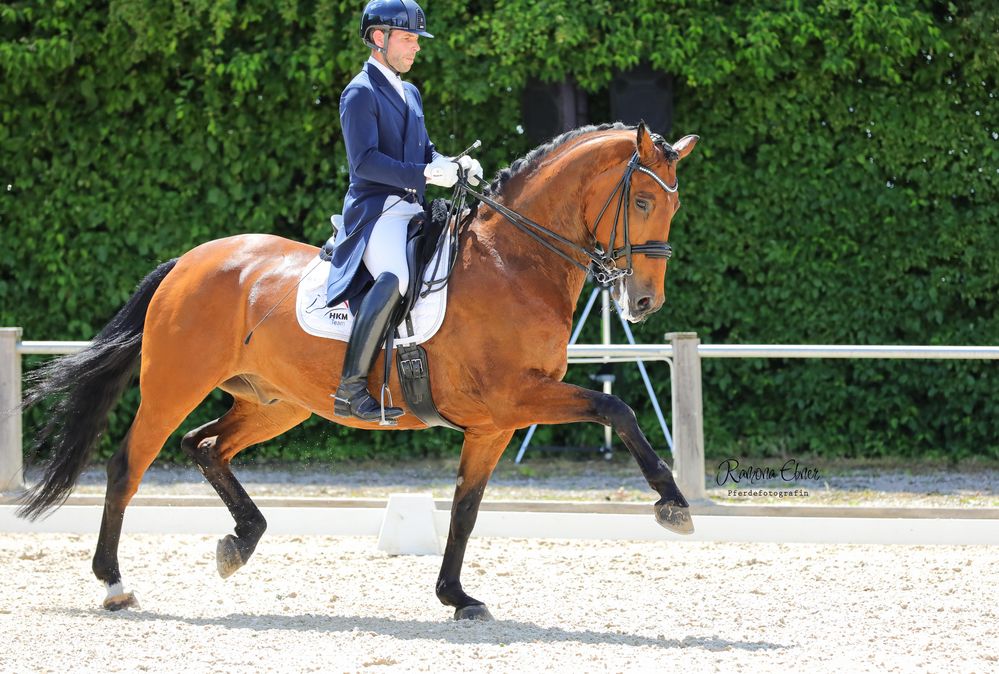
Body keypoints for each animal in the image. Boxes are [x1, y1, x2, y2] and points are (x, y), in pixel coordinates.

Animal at [19, 122, 700, 620]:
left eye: (675, 206)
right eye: (642, 200)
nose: (644, 302)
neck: (514, 264)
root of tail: (189, 260)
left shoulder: (493, 423)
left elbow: (465, 509)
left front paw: (457, 597)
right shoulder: (516, 397)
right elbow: (616, 407)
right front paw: (672, 503)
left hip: (277, 403)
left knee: (205, 446)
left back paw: (241, 539)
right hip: (174, 387)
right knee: (128, 466)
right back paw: (114, 584)